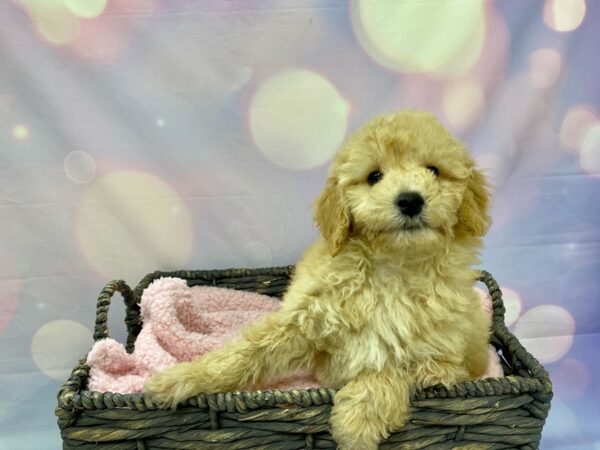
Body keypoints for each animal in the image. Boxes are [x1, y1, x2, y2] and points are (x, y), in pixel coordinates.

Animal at [145, 110, 492, 450]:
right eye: (374, 176)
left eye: (434, 170)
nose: (410, 200)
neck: (392, 267)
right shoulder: (306, 318)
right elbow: (246, 353)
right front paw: (179, 378)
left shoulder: (439, 357)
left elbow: (393, 368)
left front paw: (358, 421)